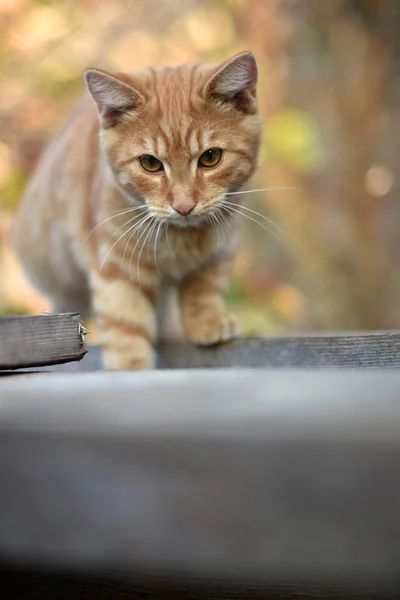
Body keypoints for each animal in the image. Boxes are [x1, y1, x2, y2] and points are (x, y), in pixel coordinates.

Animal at [13, 52, 262, 370]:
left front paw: (208, 320)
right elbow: (125, 326)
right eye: (150, 163)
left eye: (210, 157)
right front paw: (132, 368)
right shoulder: (117, 267)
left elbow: (205, 285)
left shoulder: (223, 246)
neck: (182, 240)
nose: (183, 206)